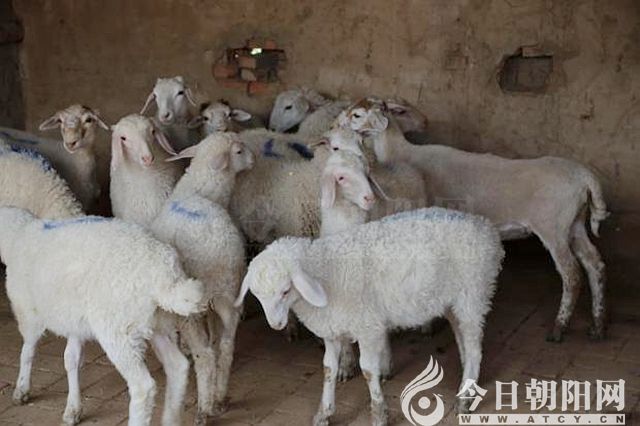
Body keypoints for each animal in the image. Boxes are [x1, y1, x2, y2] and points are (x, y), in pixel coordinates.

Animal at [0, 206, 205, 426]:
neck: (18, 235)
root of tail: (165, 277)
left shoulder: (27, 311)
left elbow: (28, 351)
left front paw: (22, 389)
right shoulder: (75, 321)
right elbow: (71, 359)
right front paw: (73, 408)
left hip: (119, 329)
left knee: (143, 386)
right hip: (157, 324)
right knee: (178, 366)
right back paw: (170, 418)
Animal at [149, 133, 254, 424]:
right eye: (239, 151)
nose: (254, 160)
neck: (199, 191)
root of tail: (219, 252)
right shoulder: (213, 306)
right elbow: (217, 341)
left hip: (194, 308)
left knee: (205, 354)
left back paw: (204, 408)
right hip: (228, 293)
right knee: (226, 346)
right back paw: (218, 397)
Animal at [234, 207, 504, 425]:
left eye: (285, 290)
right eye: (257, 295)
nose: (276, 324)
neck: (326, 271)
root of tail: (487, 230)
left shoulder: (367, 327)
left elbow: (367, 370)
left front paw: (379, 413)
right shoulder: (332, 330)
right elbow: (328, 368)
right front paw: (324, 412)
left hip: (473, 295)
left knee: (475, 349)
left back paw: (465, 398)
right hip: (454, 303)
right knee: (463, 341)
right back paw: (467, 383)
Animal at [340, 98, 609, 341]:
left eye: (356, 114)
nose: (337, 124)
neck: (402, 152)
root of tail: (585, 176)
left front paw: (428, 324)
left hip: (553, 227)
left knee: (572, 274)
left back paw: (559, 328)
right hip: (574, 224)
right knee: (594, 264)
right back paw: (597, 325)